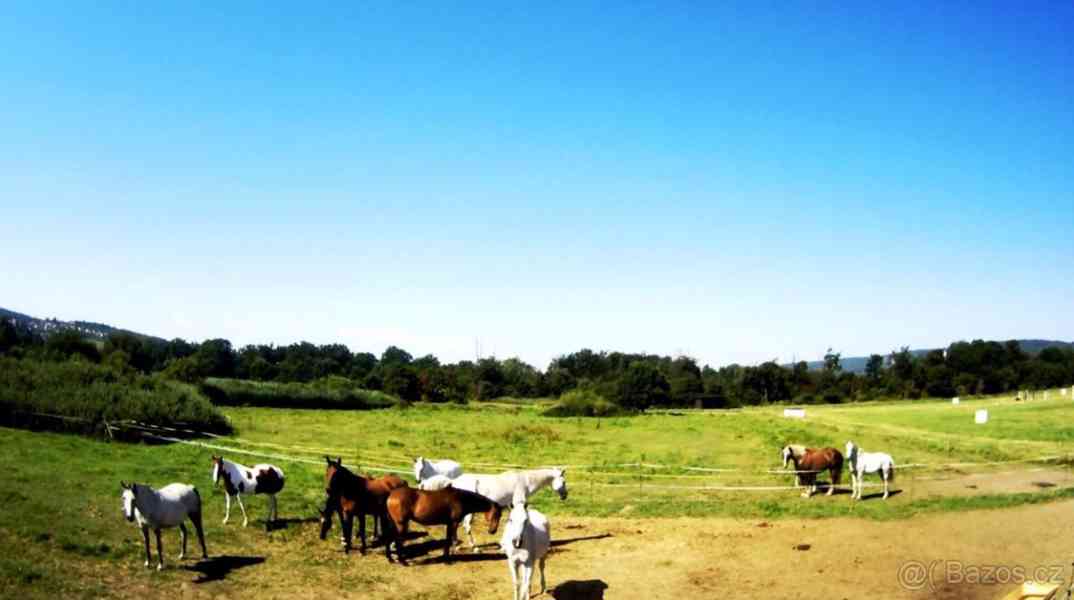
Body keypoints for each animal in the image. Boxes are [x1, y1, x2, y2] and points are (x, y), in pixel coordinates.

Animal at [414, 467, 567, 553]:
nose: (565, 496)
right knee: (466, 526)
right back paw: (474, 548)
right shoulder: (518, 504)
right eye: (564, 481)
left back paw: (457, 546)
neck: (524, 481)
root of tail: (454, 481)